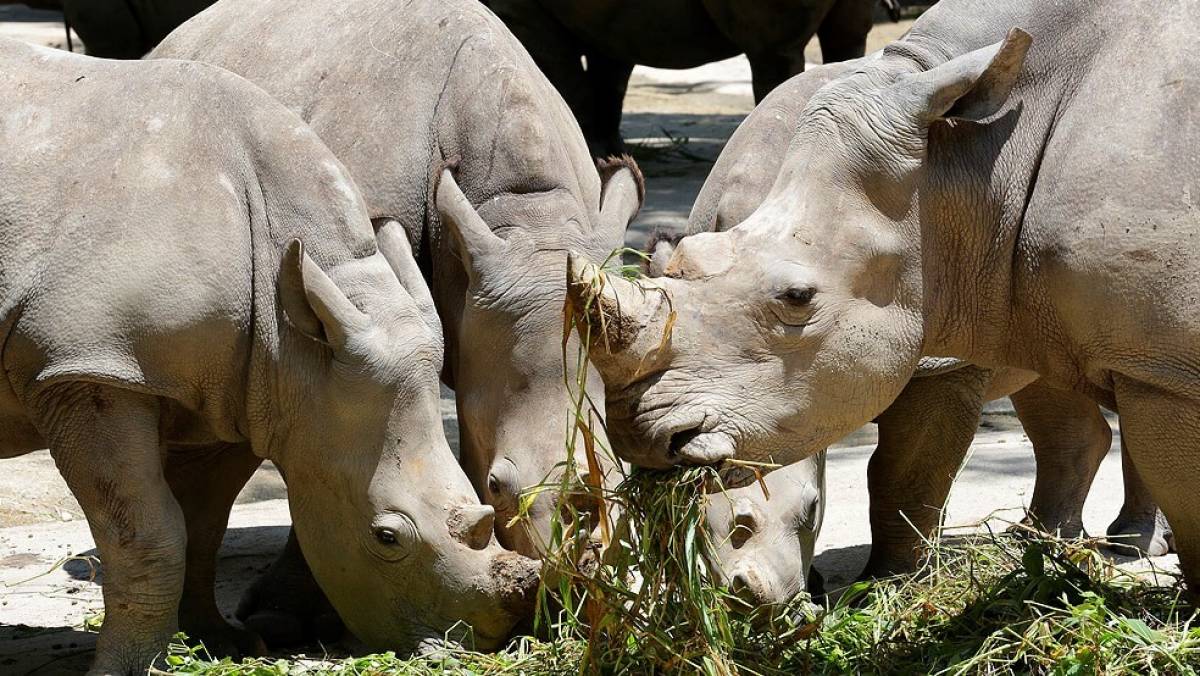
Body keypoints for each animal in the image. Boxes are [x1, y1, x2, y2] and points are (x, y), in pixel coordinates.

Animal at [0, 39, 537, 674]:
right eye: (387, 538)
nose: (483, 641)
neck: (294, 344)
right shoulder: (91, 367)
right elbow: (146, 529)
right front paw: (129, 666)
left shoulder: (230, 385)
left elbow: (200, 523)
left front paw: (219, 644)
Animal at [485, 0, 877, 155]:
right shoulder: (610, 24)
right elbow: (606, 80)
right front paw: (610, 155)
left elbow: (565, 78)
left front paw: (592, 154)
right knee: (846, 35)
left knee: (773, 51)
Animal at [568, 0, 1200, 591]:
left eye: (796, 297)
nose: (642, 435)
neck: (961, 166)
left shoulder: (942, 357)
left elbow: (905, 471)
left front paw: (888, 586)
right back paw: (1041, 546)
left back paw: (1126, 548)